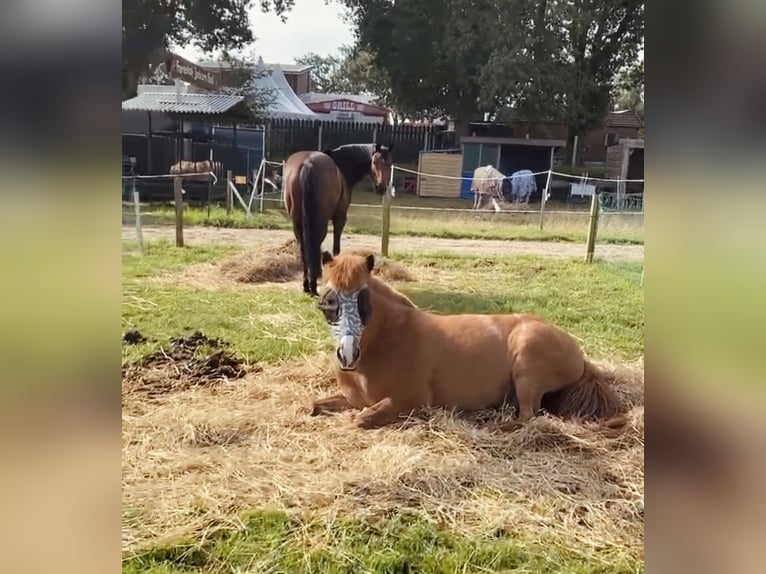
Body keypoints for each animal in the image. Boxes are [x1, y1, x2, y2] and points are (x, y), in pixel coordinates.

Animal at [283, 143, 394, 296]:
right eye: (374, 162)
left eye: (389, 163)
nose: (381, 188)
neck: (341, 166)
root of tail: (307, 164)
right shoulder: (340, 218)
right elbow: (336, 248)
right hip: (320, 221)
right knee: (315, 244)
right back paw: (313, 285)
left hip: (297, 223)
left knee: (304, 250)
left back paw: (306, 285)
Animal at [310, 251, 625, 430]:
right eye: (327, 301)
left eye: (363, 301)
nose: (347, 355)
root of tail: (579, 355)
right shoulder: (352, 399)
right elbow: (314, 406)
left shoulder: (412, 401)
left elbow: (361, 419)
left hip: (528, 368)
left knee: (528, 416)